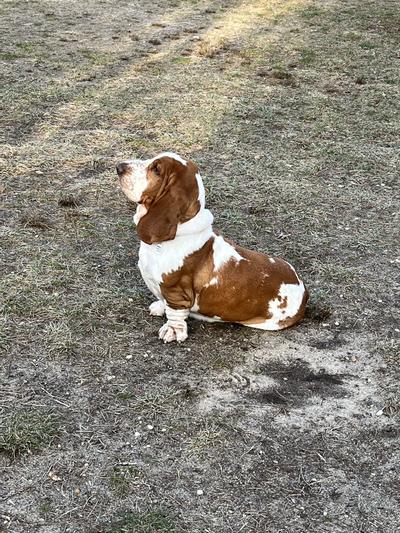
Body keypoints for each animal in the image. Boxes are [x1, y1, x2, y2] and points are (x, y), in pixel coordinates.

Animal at [116, 151, 310, 340]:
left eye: (156, 169)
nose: (119, 167)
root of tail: (304, 291)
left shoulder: (177, 292)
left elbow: (175, 312)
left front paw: (173, 331)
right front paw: (159, 307)